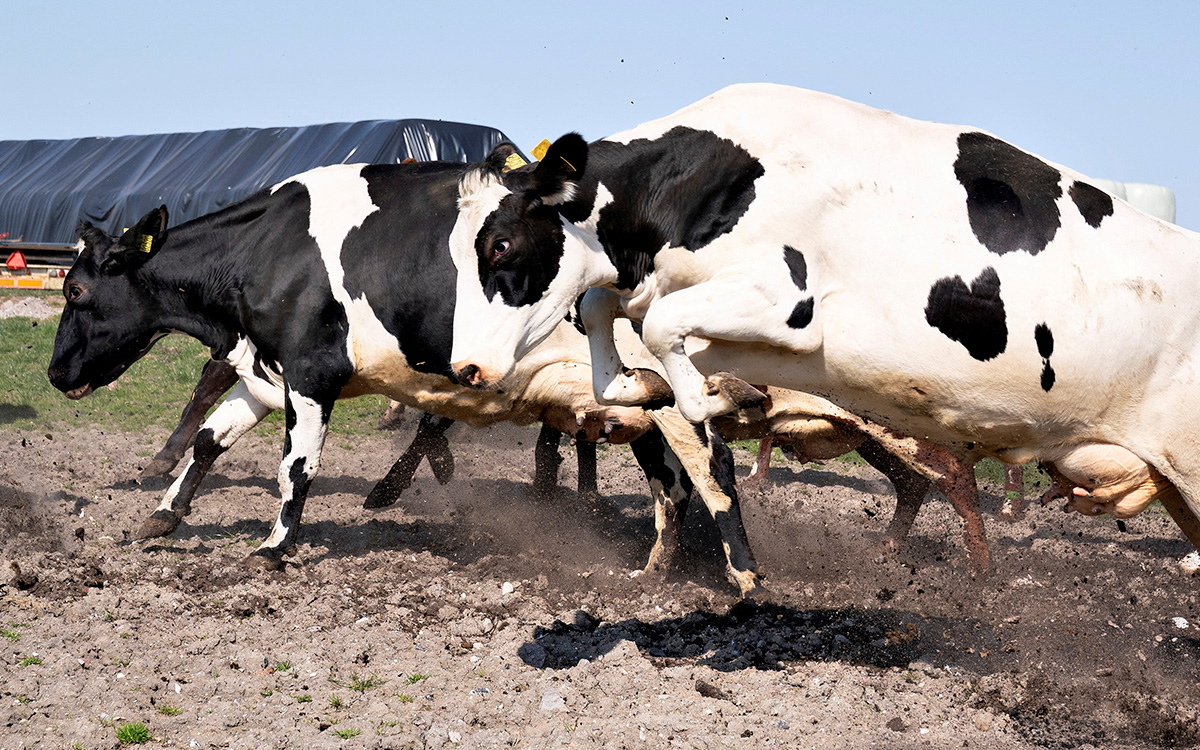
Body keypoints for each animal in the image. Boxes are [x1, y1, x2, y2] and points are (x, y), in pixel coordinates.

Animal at [45, 160, 761, 595]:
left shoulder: (311, 375)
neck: (267, 251)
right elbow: (206, 441)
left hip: (677, 395)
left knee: (714, 469)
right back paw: (653, 571)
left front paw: (275, 545)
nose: (55, 373)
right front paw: (163, 515)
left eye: (76, 290)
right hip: (632, 405)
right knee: (671, 485)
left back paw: (747, 578)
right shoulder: (262, 374)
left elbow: (296, 467)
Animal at [444, 83, 1200, 555]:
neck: (713, 176)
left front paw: (716, 397)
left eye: (501, 244)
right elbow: (609, 309)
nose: (465, 366)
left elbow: (659, 325)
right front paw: (636, 385)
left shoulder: (786, 303)